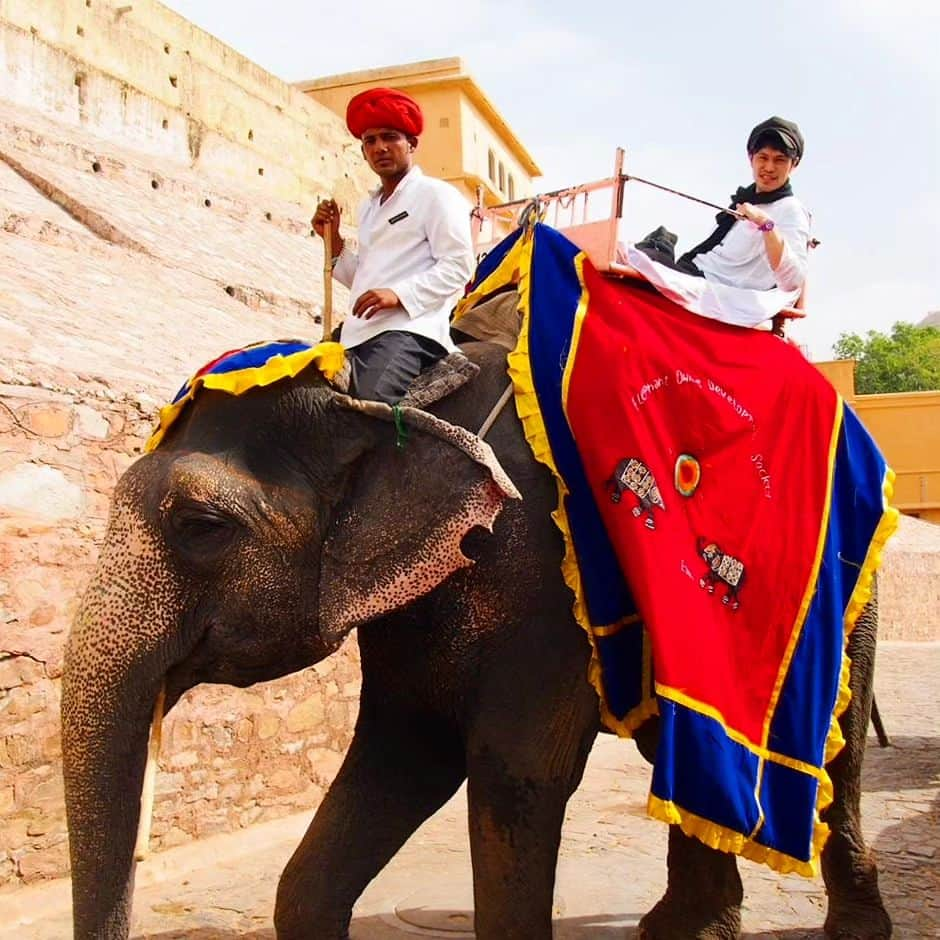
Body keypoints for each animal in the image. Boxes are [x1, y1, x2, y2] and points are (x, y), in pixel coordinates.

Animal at [62, 340, 892, 940]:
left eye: (202, 526)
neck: (387, 402)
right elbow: (405, 754)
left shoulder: (546, 579)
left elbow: (516, 770)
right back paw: (685, 933)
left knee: (840, 751)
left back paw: (850, 928)